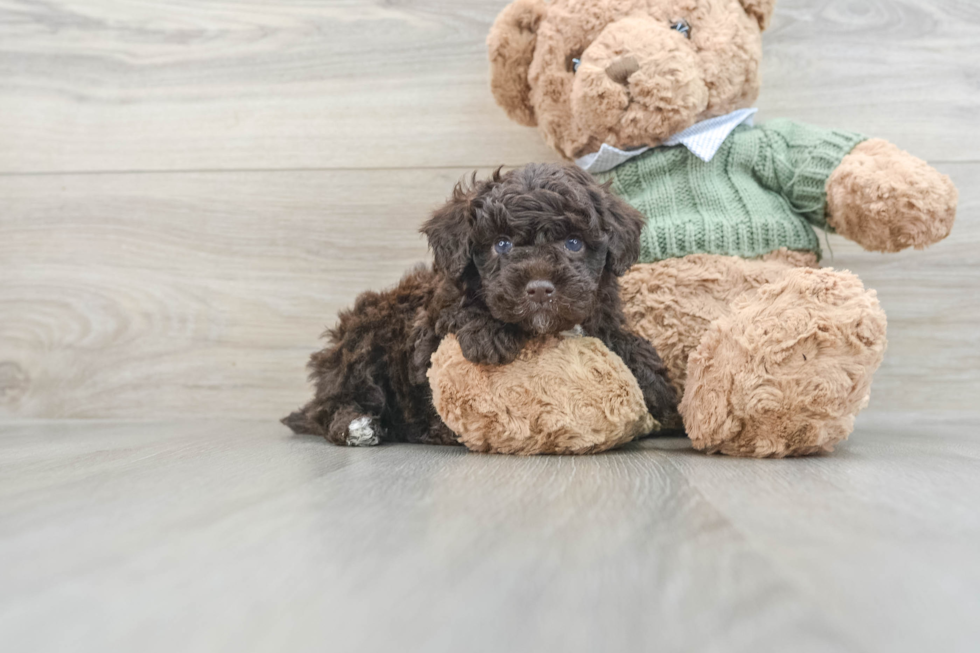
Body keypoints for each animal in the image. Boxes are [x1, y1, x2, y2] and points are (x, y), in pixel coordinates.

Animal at [284, 164, 676, 448]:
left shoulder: (601, 314)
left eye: (574, 243)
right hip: (363, 342)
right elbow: (457, 310)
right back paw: (357, 425)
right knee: (330, 404)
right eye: (501, 245)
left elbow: (620, 338)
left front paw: (656, 383)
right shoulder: (427, 332)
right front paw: (489, 334)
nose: (539, 288)